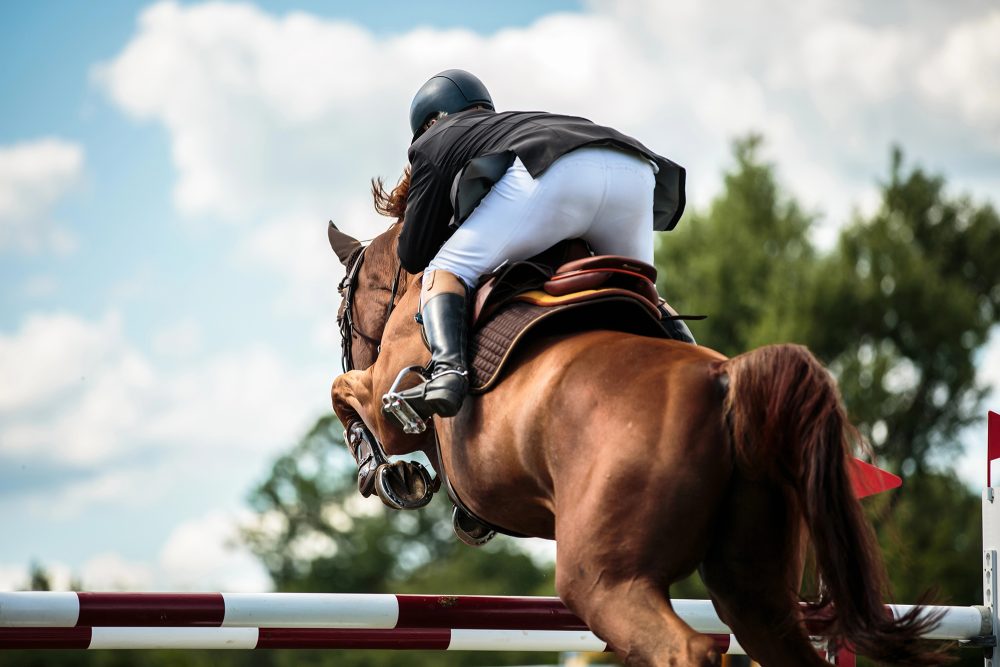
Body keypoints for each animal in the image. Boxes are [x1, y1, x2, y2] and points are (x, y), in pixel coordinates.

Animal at [329, 220, 943, 667]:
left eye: (341, 313)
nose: (350, 339)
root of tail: (727, 381)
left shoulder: (388, 400)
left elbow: (343, 392)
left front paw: (387, 475)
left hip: (605, 580)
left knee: (684, 648)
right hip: (752, 585)